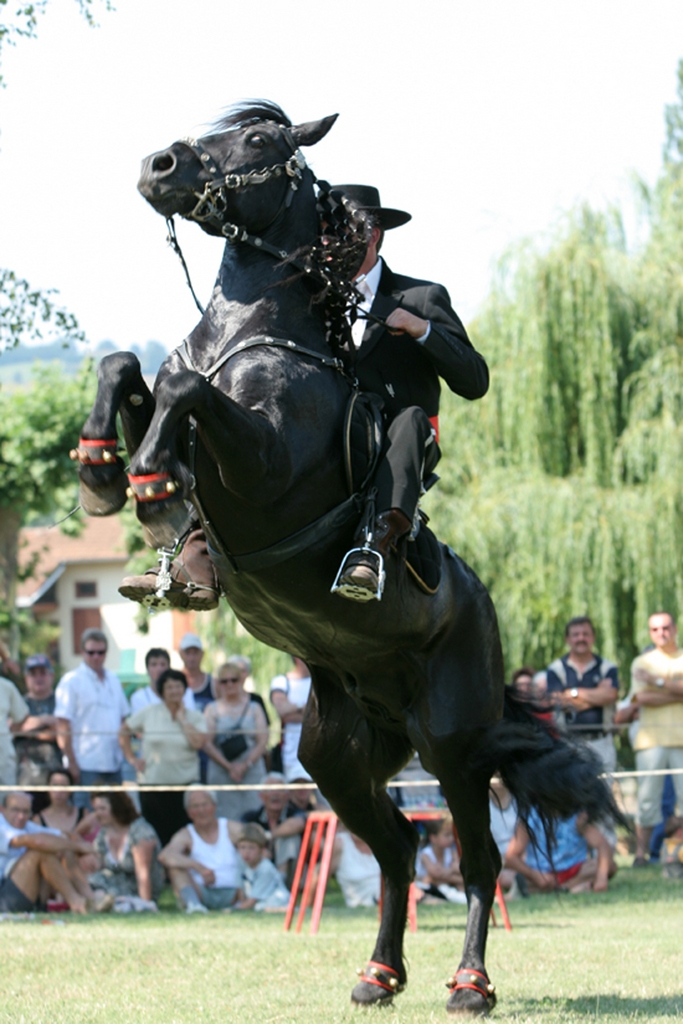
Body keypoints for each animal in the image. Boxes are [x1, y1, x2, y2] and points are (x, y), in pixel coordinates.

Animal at [74, 99, 618, 1011]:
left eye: (261, 139)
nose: (159, 166)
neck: (253, 332)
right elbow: (128, 369)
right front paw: (107, 475)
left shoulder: (262, 466)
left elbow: (186, 393)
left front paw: (150, 487)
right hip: (335, 755)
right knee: (398, 848)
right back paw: (378, 974)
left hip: (451, 745)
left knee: (475, 859)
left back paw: (468, 985)